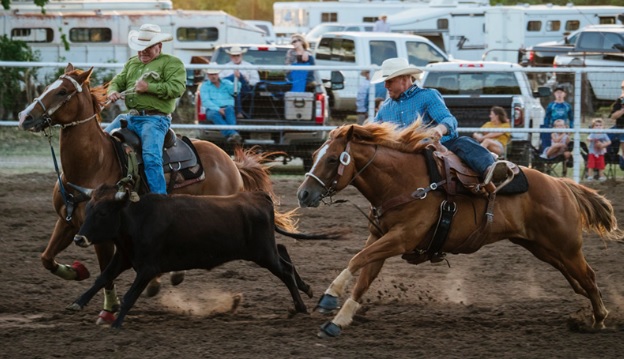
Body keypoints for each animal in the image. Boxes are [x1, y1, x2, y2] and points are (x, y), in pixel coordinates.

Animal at [15, 64, 296, 326]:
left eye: (62, 91)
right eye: (48, 86)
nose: (24, 117)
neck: (93, 163)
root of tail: (229, 162)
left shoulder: (101, 234)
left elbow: (106, 272)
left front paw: (109, 310)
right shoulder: (68, 222)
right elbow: (47, 258)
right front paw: (77, 272)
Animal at [296, 122, 620, 338]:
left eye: (333, 158)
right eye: (315, 154)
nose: (303, 194)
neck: (404, 182)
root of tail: (561, 186)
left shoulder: (401, 238)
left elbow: (356, 260)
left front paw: (329, 297)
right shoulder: (380, 238)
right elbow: (364, 276)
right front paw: (338, 321)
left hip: (565, 248)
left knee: (589, 277)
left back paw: (599, 319)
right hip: (545, 249)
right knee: (578, 281)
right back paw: (590, 315)